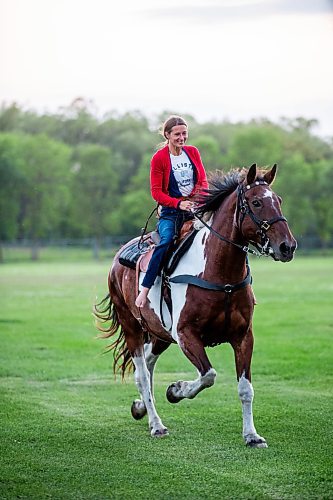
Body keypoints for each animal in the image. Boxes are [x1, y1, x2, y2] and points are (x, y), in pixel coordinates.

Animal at [93, 163, 296, 446]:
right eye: (256, 202)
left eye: (278, 200)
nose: (287, 246)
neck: (219, 274)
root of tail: (117, 258)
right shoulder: (186, 335)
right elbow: (208, 375)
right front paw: (176, 390)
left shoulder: (243, 336)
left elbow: (245, 388)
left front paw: (252, 435)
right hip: (132, 325)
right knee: (142, 374)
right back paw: (156, 424)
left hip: (160, 333)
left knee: (148, 363)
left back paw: (141, 407)